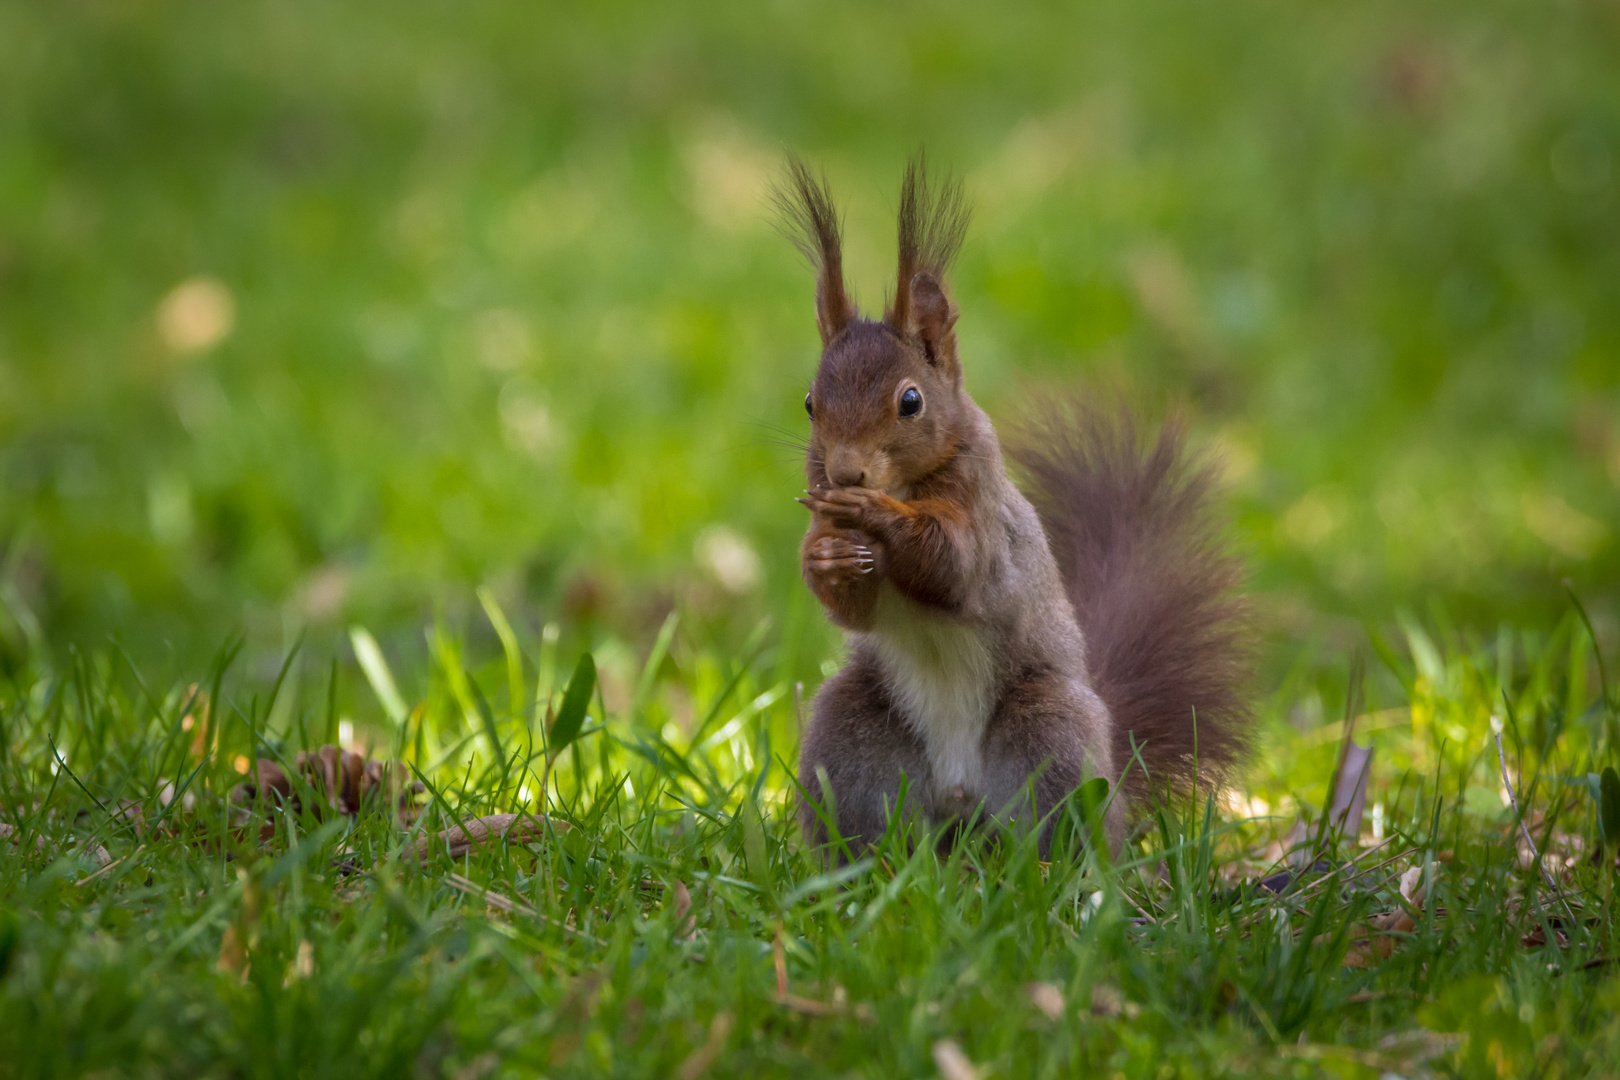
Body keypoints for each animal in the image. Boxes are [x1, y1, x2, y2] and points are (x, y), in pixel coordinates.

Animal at [784, 153, 1250, 861]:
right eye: (811, 402)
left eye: (911, 401)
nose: (844, 473)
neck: (909, 483)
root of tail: (959, 800)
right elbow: (851, 606)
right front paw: (828, 554)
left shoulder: (984, 517)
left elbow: (953, 564)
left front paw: (877, 516)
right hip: (852, 738)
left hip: (1048, 735)